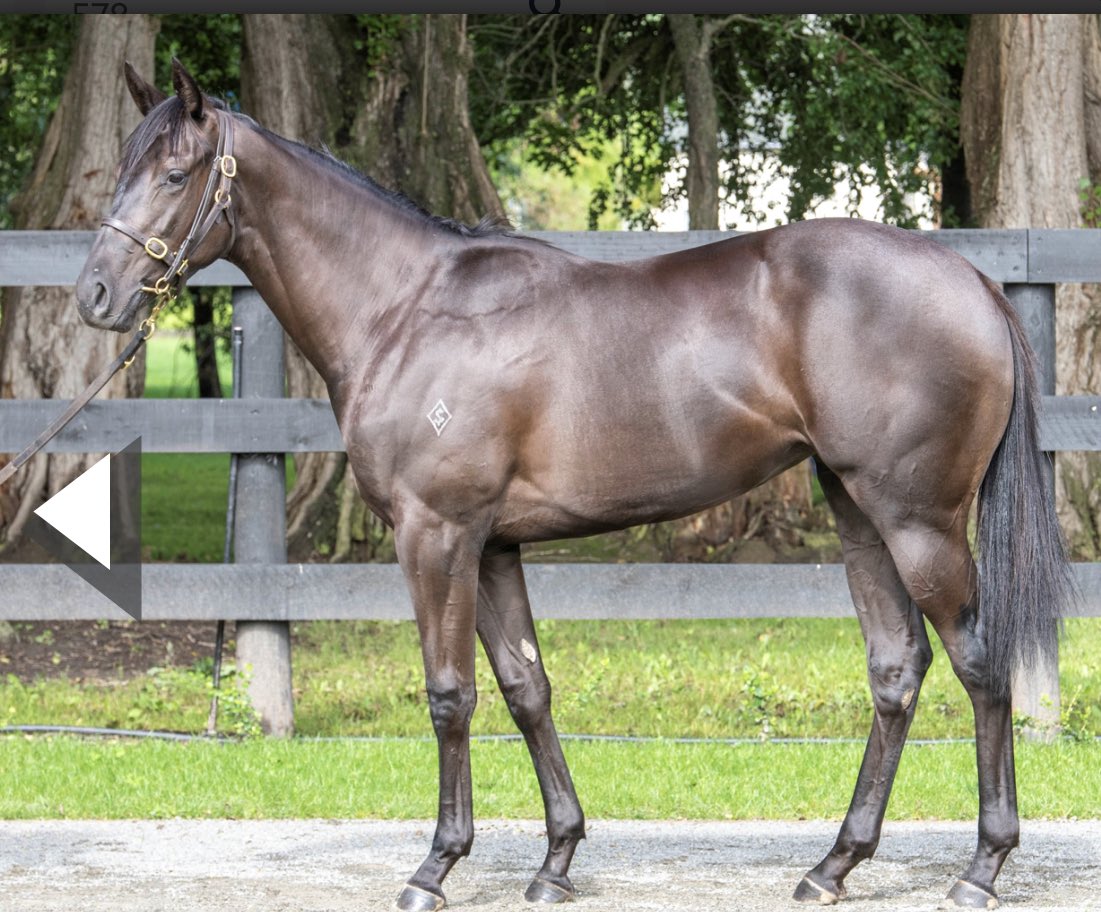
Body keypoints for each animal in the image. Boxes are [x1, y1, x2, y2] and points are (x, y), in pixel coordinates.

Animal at [73, 60, 1070, 907]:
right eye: (123, 168)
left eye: (174, 173)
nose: (94, 298)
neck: (405, 309)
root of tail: (970, 277)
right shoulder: (494, 546)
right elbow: (526, 689)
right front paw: (555, 859)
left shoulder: (436, 535)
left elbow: (449, 695)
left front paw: (436, 866)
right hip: (855, 510)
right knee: (896, 669)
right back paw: (833, 865)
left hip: (918, 521)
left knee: (981, 665)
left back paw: (980, 867)